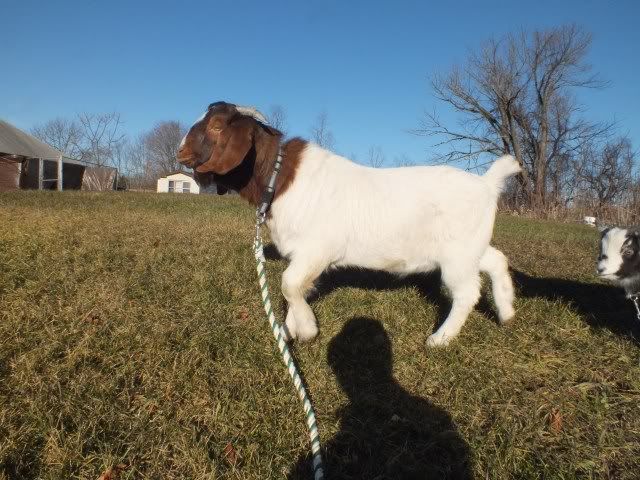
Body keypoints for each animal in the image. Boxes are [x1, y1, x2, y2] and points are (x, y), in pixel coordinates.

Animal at [177, 101, 521, 346]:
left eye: (217, 125)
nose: (180, 151)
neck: (279, 177)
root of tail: (487, 184)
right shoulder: (301, 254)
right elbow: (295, 286)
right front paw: (289, 330)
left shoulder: (317, 249)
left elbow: (289, 283)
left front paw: (306, 330)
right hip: (470, 248)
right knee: (496, 260)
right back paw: (506, 313)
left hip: (457, 256)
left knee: (466, 293)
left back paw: (440, 339)